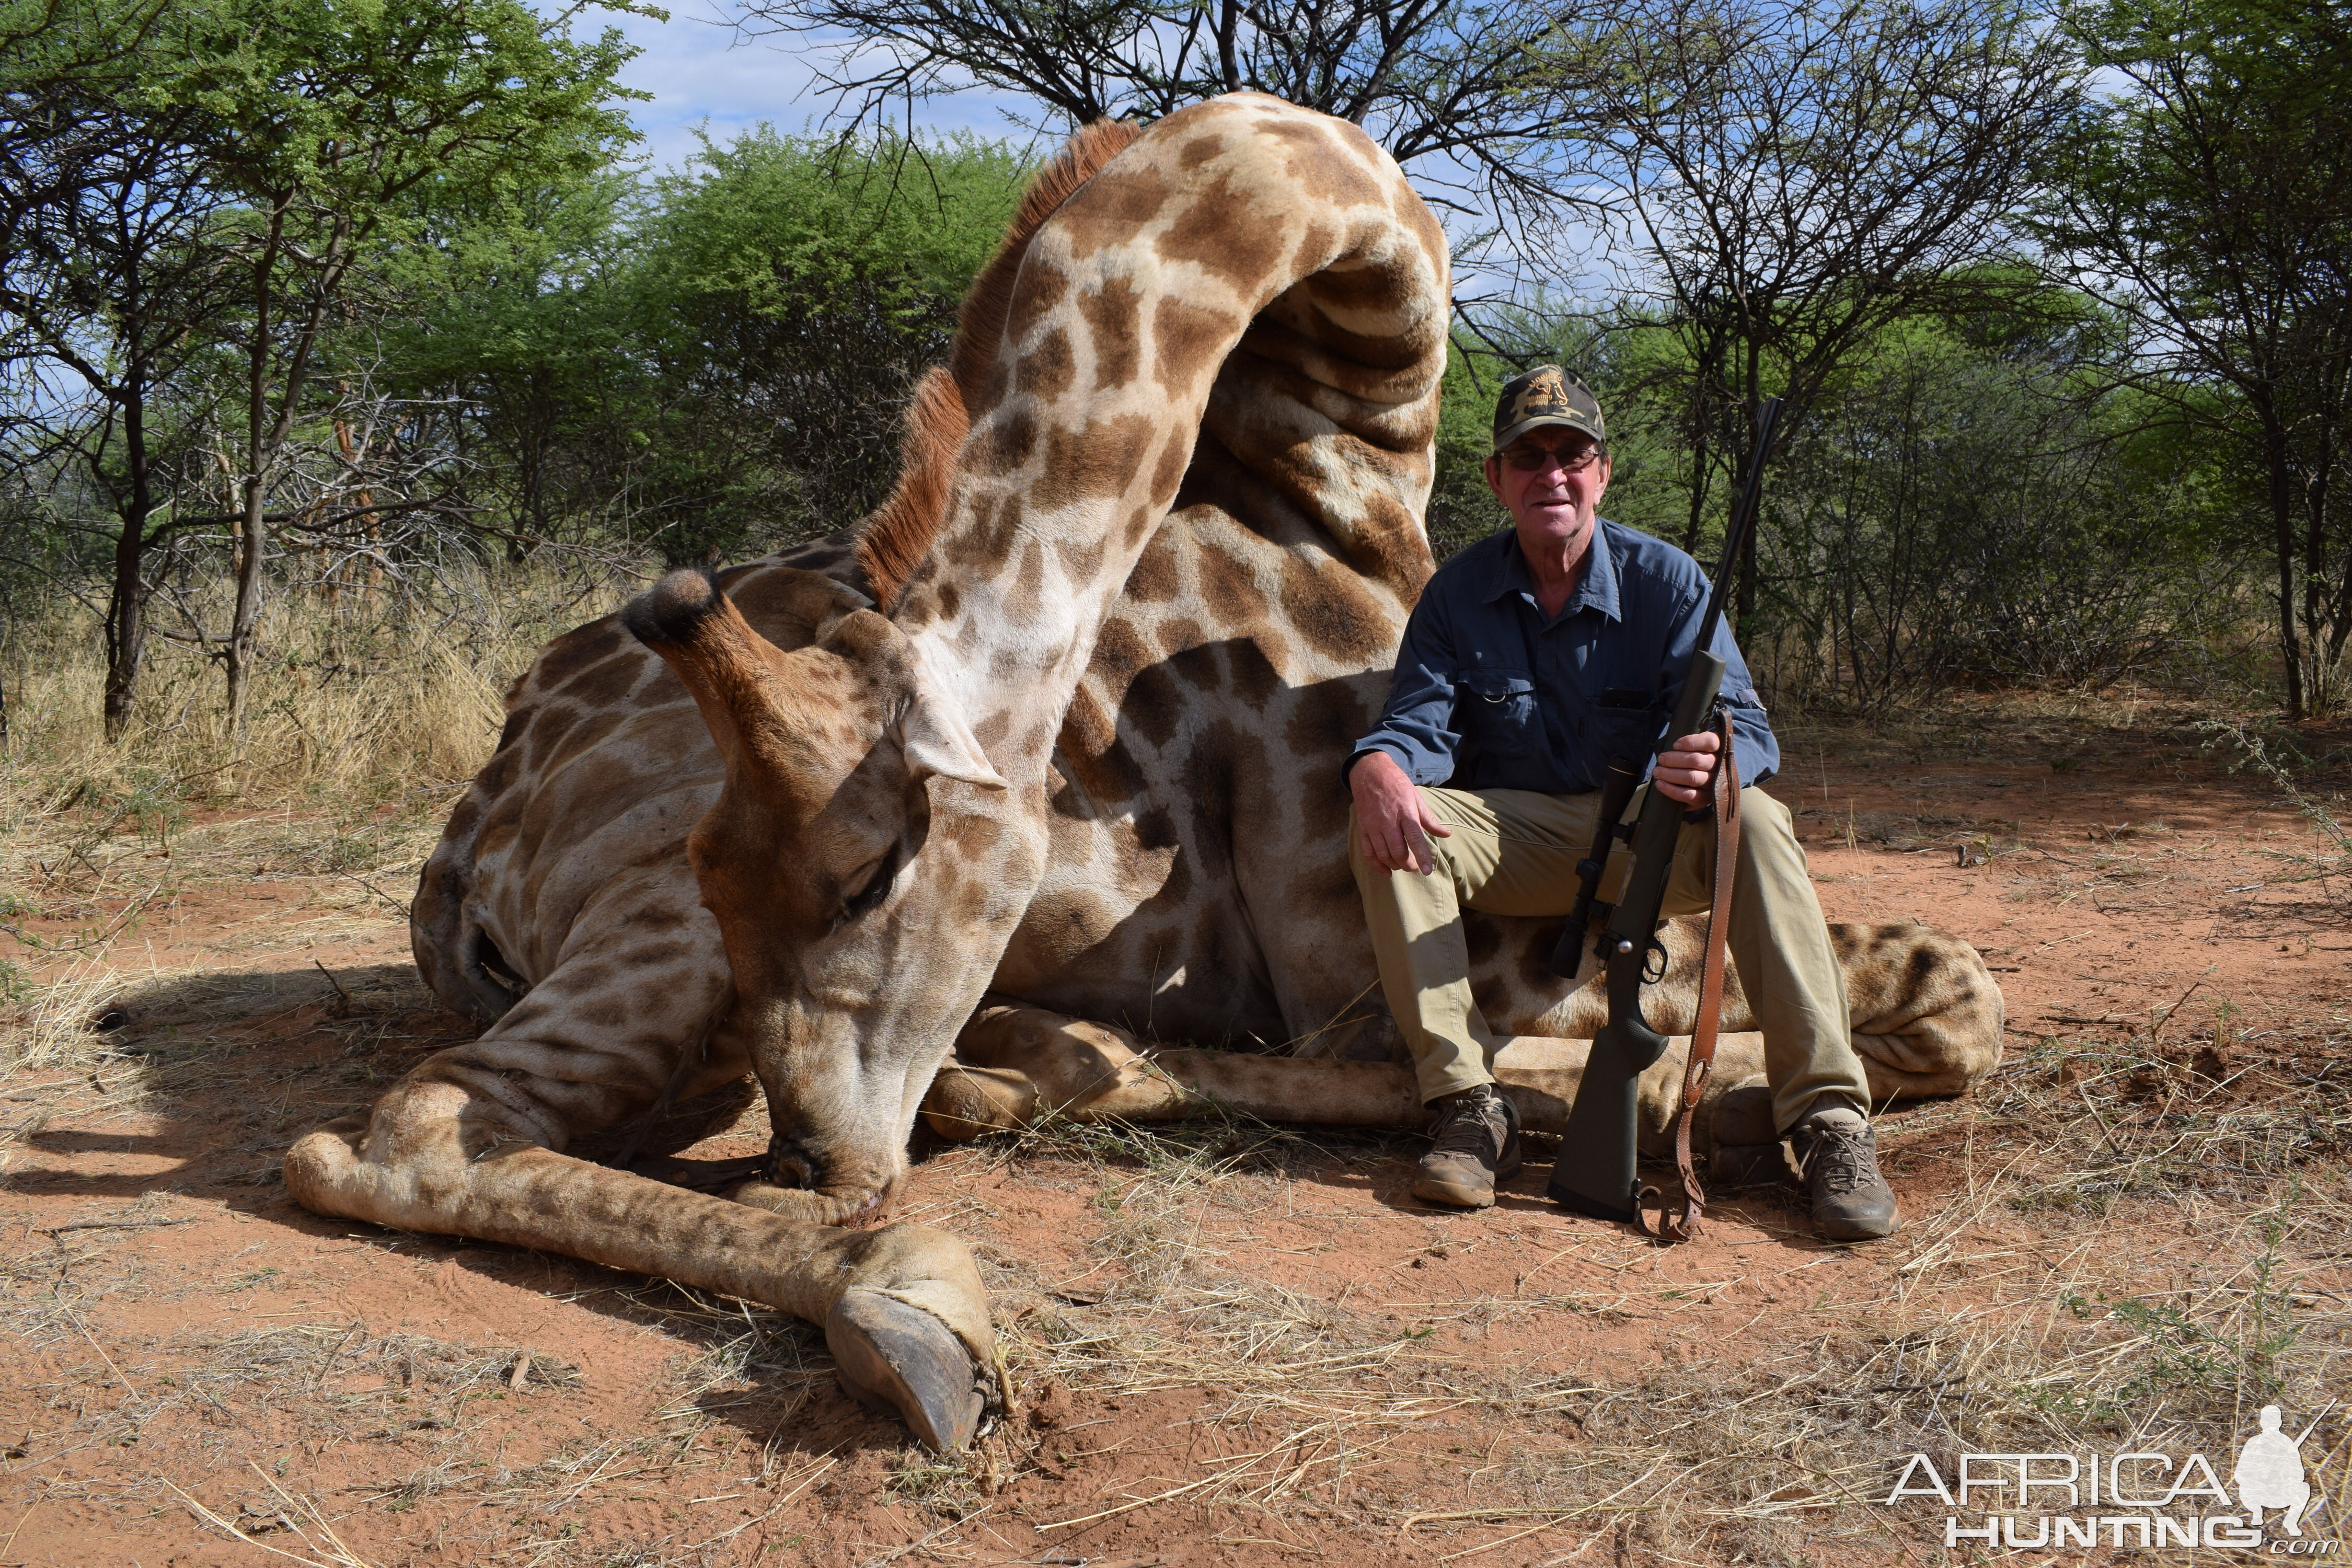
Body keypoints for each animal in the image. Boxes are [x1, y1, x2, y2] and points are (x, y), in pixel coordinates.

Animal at [280, 98, 2004, 1457]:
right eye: (751, 868)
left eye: (873, 868)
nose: (812, 1161)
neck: (1349, 463)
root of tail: (463, 846)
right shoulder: (1354, 954)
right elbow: (1923, 994)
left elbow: (1949, 991)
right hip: (653, 968)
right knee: (407, 1129)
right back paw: (926, 1302)